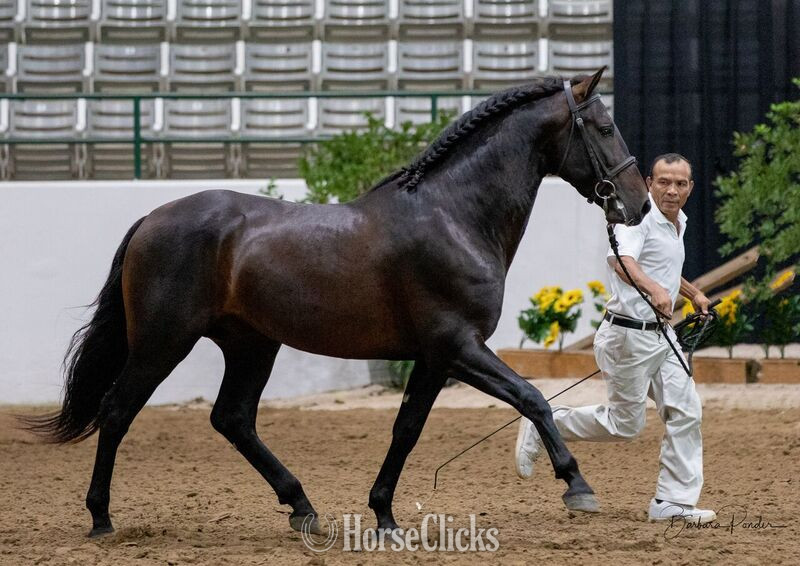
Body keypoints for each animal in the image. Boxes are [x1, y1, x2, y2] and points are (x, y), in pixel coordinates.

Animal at [25, 67, 650, 537]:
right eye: (604, 126)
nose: (639, 204)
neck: (454, 215)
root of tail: (151, 219)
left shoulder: (433, 358)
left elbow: (406, 429)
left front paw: (384, 515)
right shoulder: (459, 346)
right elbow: (532, 398)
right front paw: (578, 486)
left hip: (252, 345)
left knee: (232, 419)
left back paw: (303, 508)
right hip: (163, 343)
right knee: (117, 411)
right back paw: (101, 518)